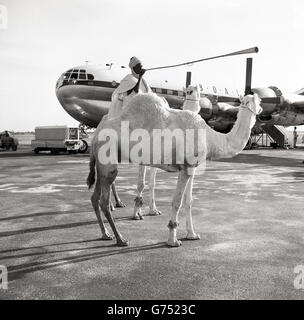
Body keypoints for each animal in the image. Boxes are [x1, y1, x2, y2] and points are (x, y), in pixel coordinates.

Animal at [87, 91, 262, 246]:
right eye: (258, 100)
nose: (260, 110)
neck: (211, 138)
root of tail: (95, 135)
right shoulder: (186, 167)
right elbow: (177, 201)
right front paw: (173, 240)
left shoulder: (191, 168)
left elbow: (188, 201)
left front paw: (192, 234)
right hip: (108, 160)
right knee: (104, 201)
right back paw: (120, 239)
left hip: (100, 164)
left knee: (95, 197)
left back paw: (105, 234)